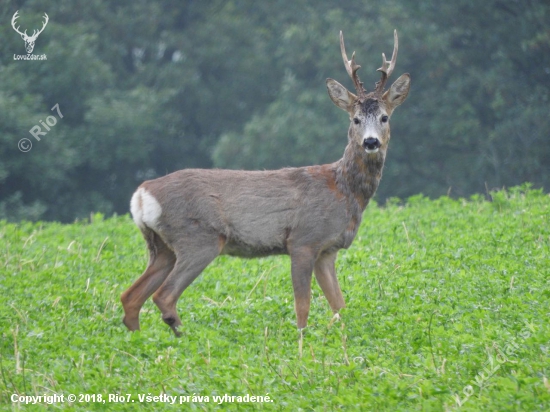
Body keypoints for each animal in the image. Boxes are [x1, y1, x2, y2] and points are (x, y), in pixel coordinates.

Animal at [123, 29, 412, 338]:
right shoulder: (303, 240)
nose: (370, 142)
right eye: (355, 119)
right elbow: (303, 306)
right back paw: (183, 337)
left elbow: (340, 306)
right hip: (198, 237)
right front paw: (301, 342)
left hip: (161, 246)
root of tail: (141, 195)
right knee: (163, 296)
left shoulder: (327, 250)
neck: (344, 191)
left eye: (384, 117)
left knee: (130, 297)